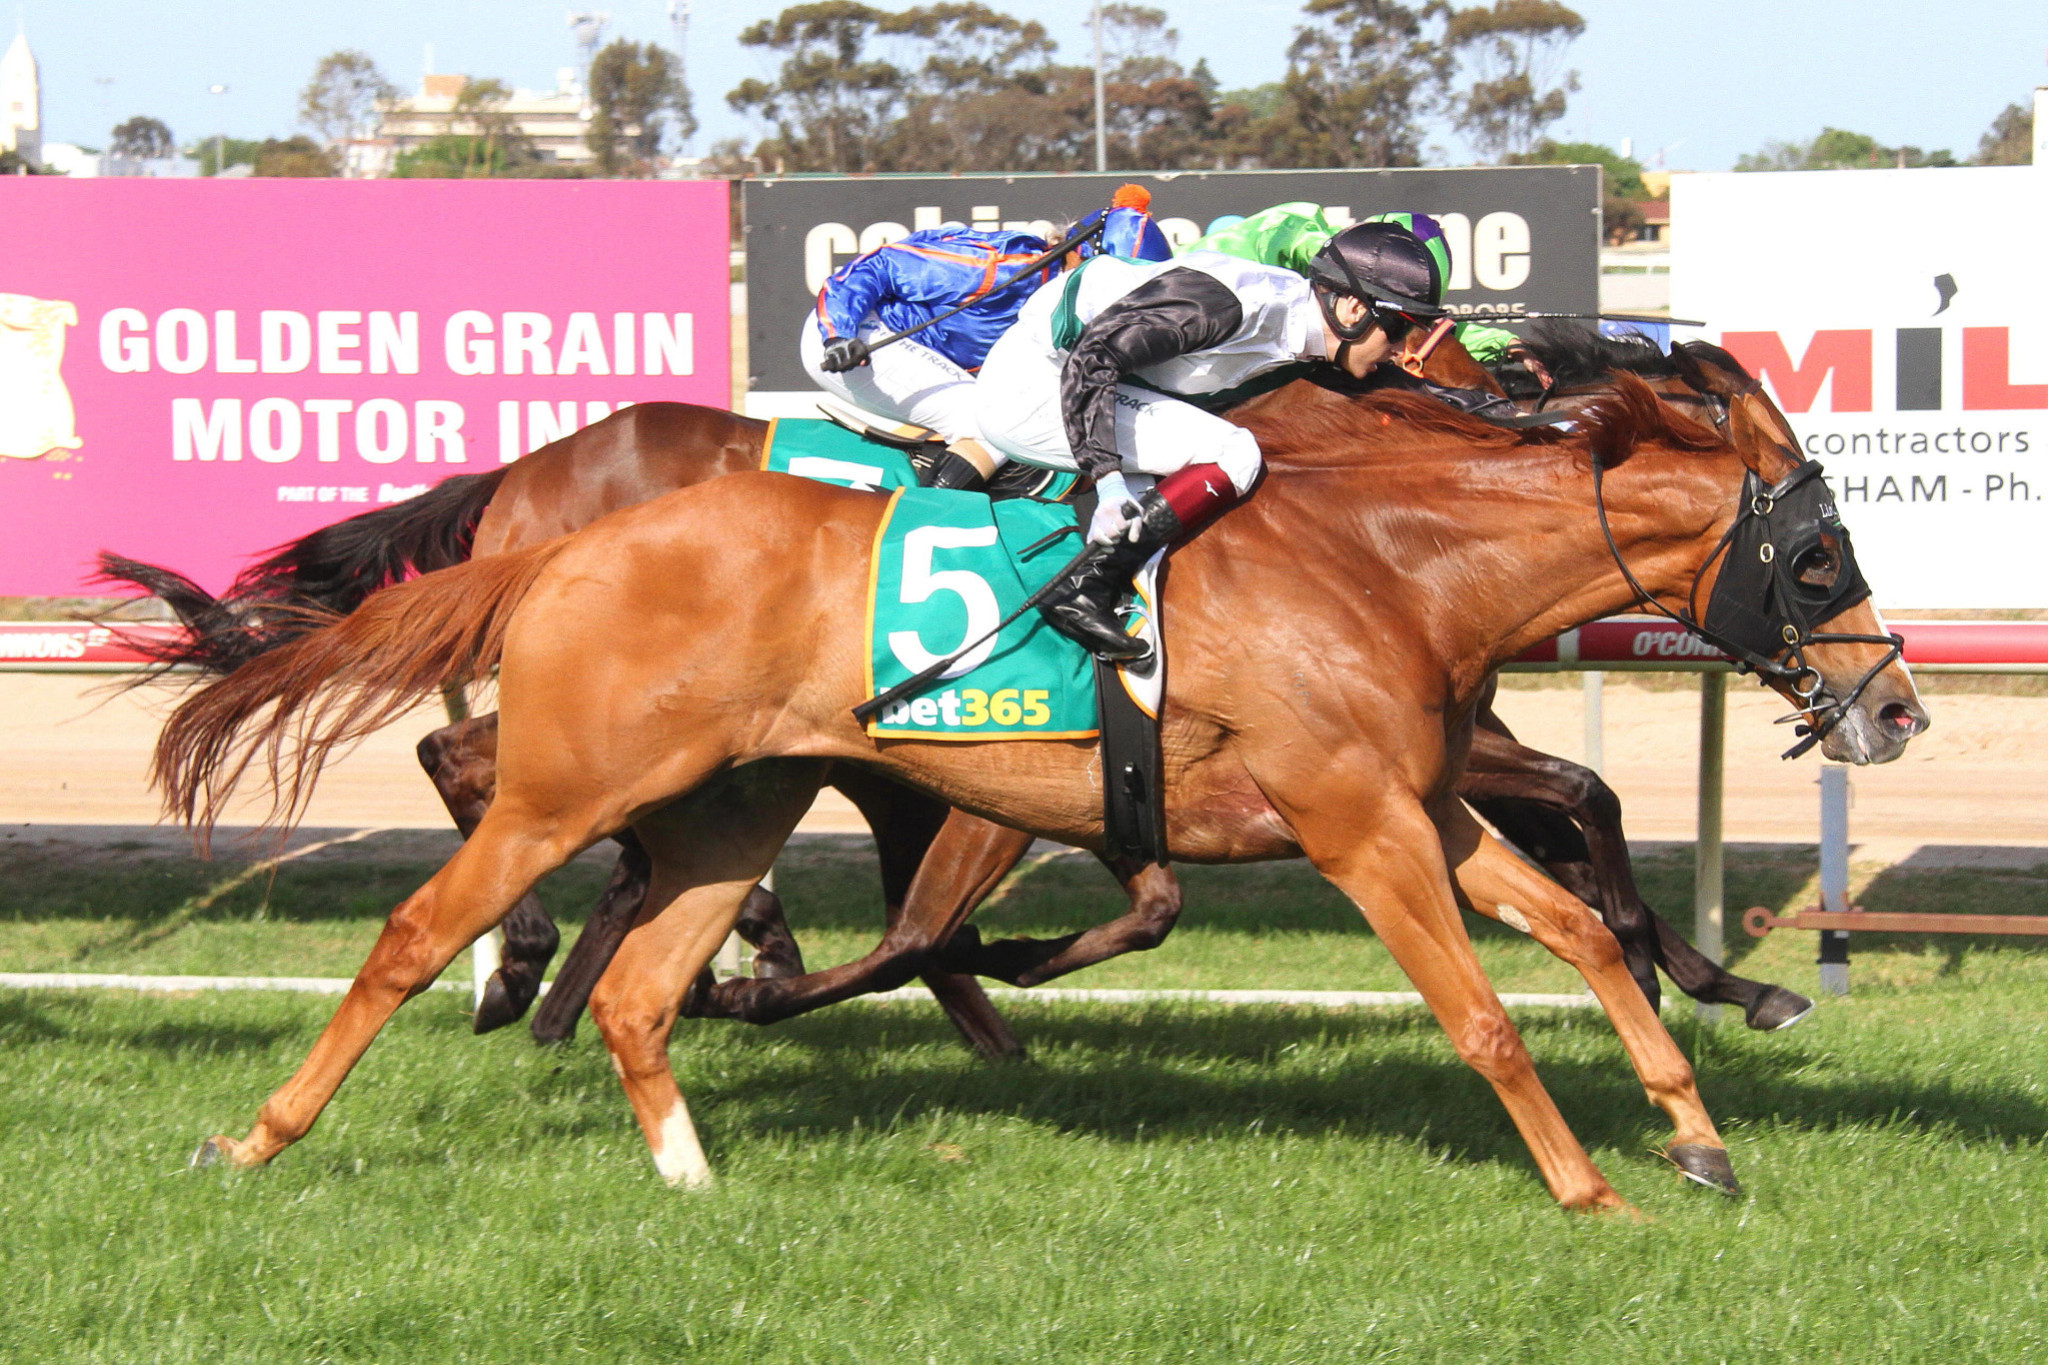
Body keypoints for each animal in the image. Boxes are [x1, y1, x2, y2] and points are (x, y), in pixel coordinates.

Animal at [155, 376, 1916, 1219]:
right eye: (1820, 557)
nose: (1894, 705)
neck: (1388, 560)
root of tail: (560, 530)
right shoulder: (1357, 827)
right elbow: (1482, 1011)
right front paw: (1593, 1186)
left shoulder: (1432, 807)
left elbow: (1584, 929)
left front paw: (1699, 1133)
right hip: (570, 784)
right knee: (416, 923)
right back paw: (265, 1132)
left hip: (736, 802)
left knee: (648, 988)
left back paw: (695, 1163)